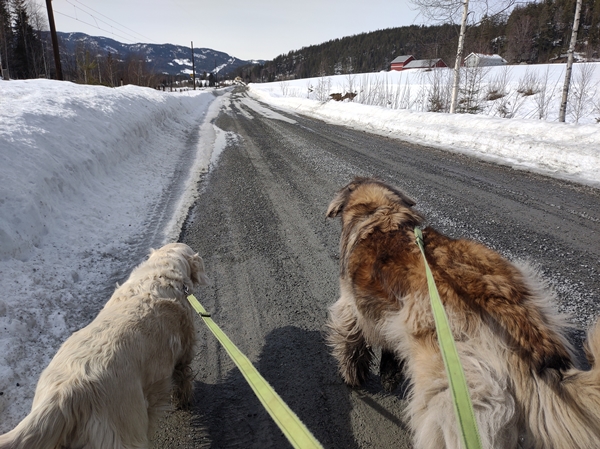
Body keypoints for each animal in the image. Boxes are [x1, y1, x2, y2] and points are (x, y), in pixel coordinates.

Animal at [0, 242, 209, 448]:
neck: (161, 273)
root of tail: (66, 394)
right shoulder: (184, 352)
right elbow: (184, 379)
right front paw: (184, 400)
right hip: (124, 432)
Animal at [326, 177, 600, 448]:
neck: (380, 212)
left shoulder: (350, 306)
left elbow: (351, 340)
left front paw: (353, 376)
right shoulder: (388, 315)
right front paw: (388, 375)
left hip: (452, 391)